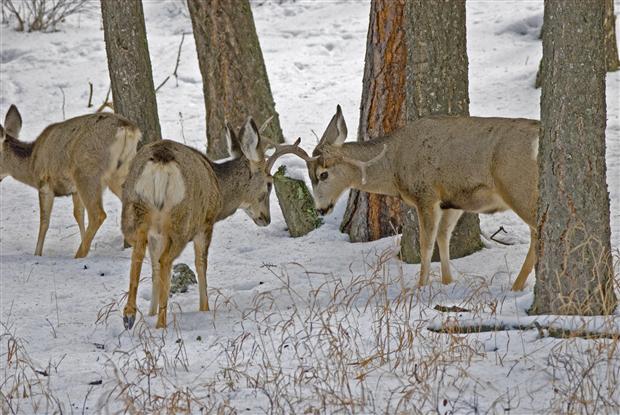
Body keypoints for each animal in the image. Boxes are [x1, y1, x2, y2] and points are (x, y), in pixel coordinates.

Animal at [0, 105, 142, 258]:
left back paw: (79, 255)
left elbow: (44, 221)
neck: (31, 162)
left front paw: (37, 253)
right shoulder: (74, 190)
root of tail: (126, 127)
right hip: (122, 171)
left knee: (98, 214)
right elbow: (78, 214)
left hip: (87, 172)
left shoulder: (44, 183)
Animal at [122, 118, 300, 332]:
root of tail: (160, 162)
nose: (266, 218)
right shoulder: (206, 223)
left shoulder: (156, 234)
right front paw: (204, 308)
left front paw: (150, 313)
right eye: (269, 183)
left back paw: (129, 315)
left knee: (139, 254)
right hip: (182, 221)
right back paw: (161, 323)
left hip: (135, 210)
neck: (219, 187)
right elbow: (201, 264)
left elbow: (154, 268)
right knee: (165, 260)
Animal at [278, 105, 540, 292]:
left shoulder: (426, 194)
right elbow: (443, 238)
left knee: (538, 230)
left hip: (519, 188)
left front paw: (421, 286)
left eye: (323, 174)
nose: (320, 208)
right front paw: (447, 282)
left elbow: (426, 244)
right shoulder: (452, 200)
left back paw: (517, 286)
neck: (394, 164)